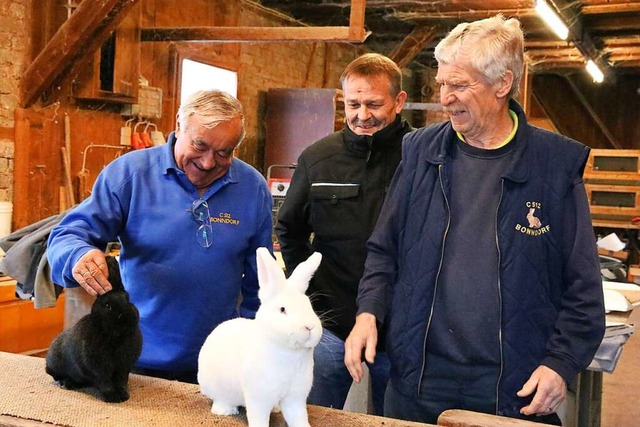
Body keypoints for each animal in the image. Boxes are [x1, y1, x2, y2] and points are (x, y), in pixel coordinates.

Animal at [45, 256, 143, 402]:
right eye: (107, 306)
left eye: (127, 299)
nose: (127, 319)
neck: (115, 337)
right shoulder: (98, 369)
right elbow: (105, 383)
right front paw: (112, 397)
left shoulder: (123, 368)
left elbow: (121, 382)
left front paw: (123, 396)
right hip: (54, 366)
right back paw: (66, 384)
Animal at [198, 247, 322, 427]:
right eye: (282, 309)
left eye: (309, 306)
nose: (309, 326)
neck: (290, 352)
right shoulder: (258, 399)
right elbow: (259, 418)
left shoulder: (295, 399)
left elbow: (298, 417)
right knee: (221, 399)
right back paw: (225, 410)